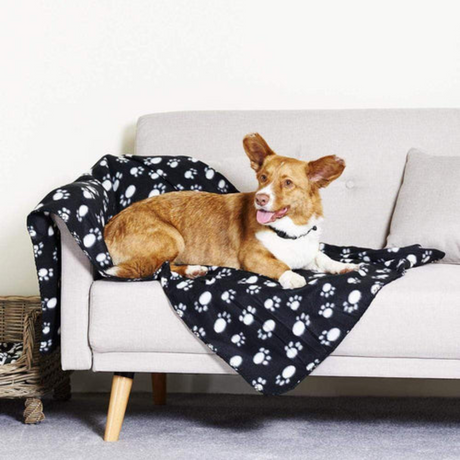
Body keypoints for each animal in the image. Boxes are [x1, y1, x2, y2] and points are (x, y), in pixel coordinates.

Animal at [104, 133, 360, 288]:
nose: (260, 198)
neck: (288, 231)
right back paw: (194, 269)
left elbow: (322, 256)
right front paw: (293, 277)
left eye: (287, 183)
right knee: (155, 269)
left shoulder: (307, 252)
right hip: (173, 238)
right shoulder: (253, 257)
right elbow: (281, 265)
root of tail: (108, 227)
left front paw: (342, 266)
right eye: (263, 177)